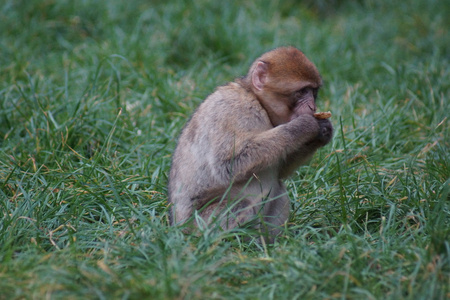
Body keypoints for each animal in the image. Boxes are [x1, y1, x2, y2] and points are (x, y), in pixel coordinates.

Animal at [167, 45, 332, 240]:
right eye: (301, 92)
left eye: (313, 92)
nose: (312, 107)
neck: (256, 100)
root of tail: (179, 230)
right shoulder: (234, 109)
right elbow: (227, 165)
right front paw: (305, 126)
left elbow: (280, 170)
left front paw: (323, 132)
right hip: (201, 225)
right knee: (242, 205)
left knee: (279, 189)